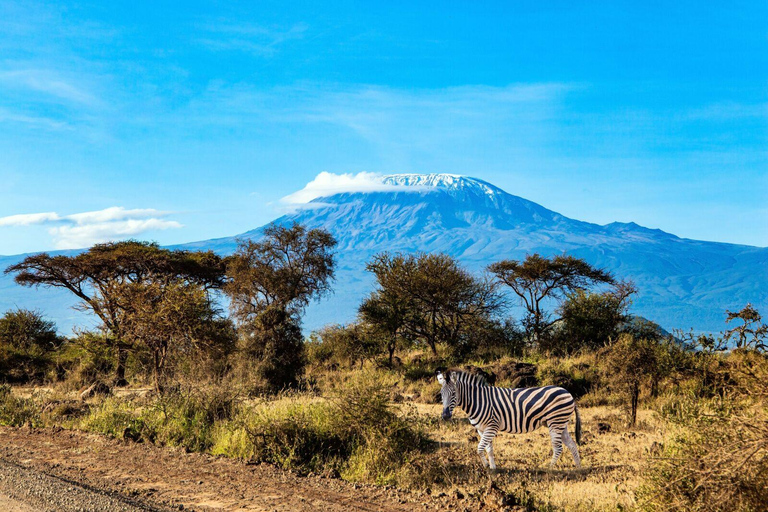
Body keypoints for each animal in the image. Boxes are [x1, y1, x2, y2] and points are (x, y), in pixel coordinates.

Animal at [438, 368, 584, 472]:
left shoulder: (492, 426)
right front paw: (492, 468)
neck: (478, 401)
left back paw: (549, 469)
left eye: (453, 393)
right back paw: (578, 468)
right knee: (571, 445)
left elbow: (479, 448)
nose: (445, 416)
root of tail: (568, 393)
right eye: (441, 394)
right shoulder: (482, 429)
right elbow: (488, 448)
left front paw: (486, 465)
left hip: (555, 422)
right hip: (561, 423)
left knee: (558, 448)